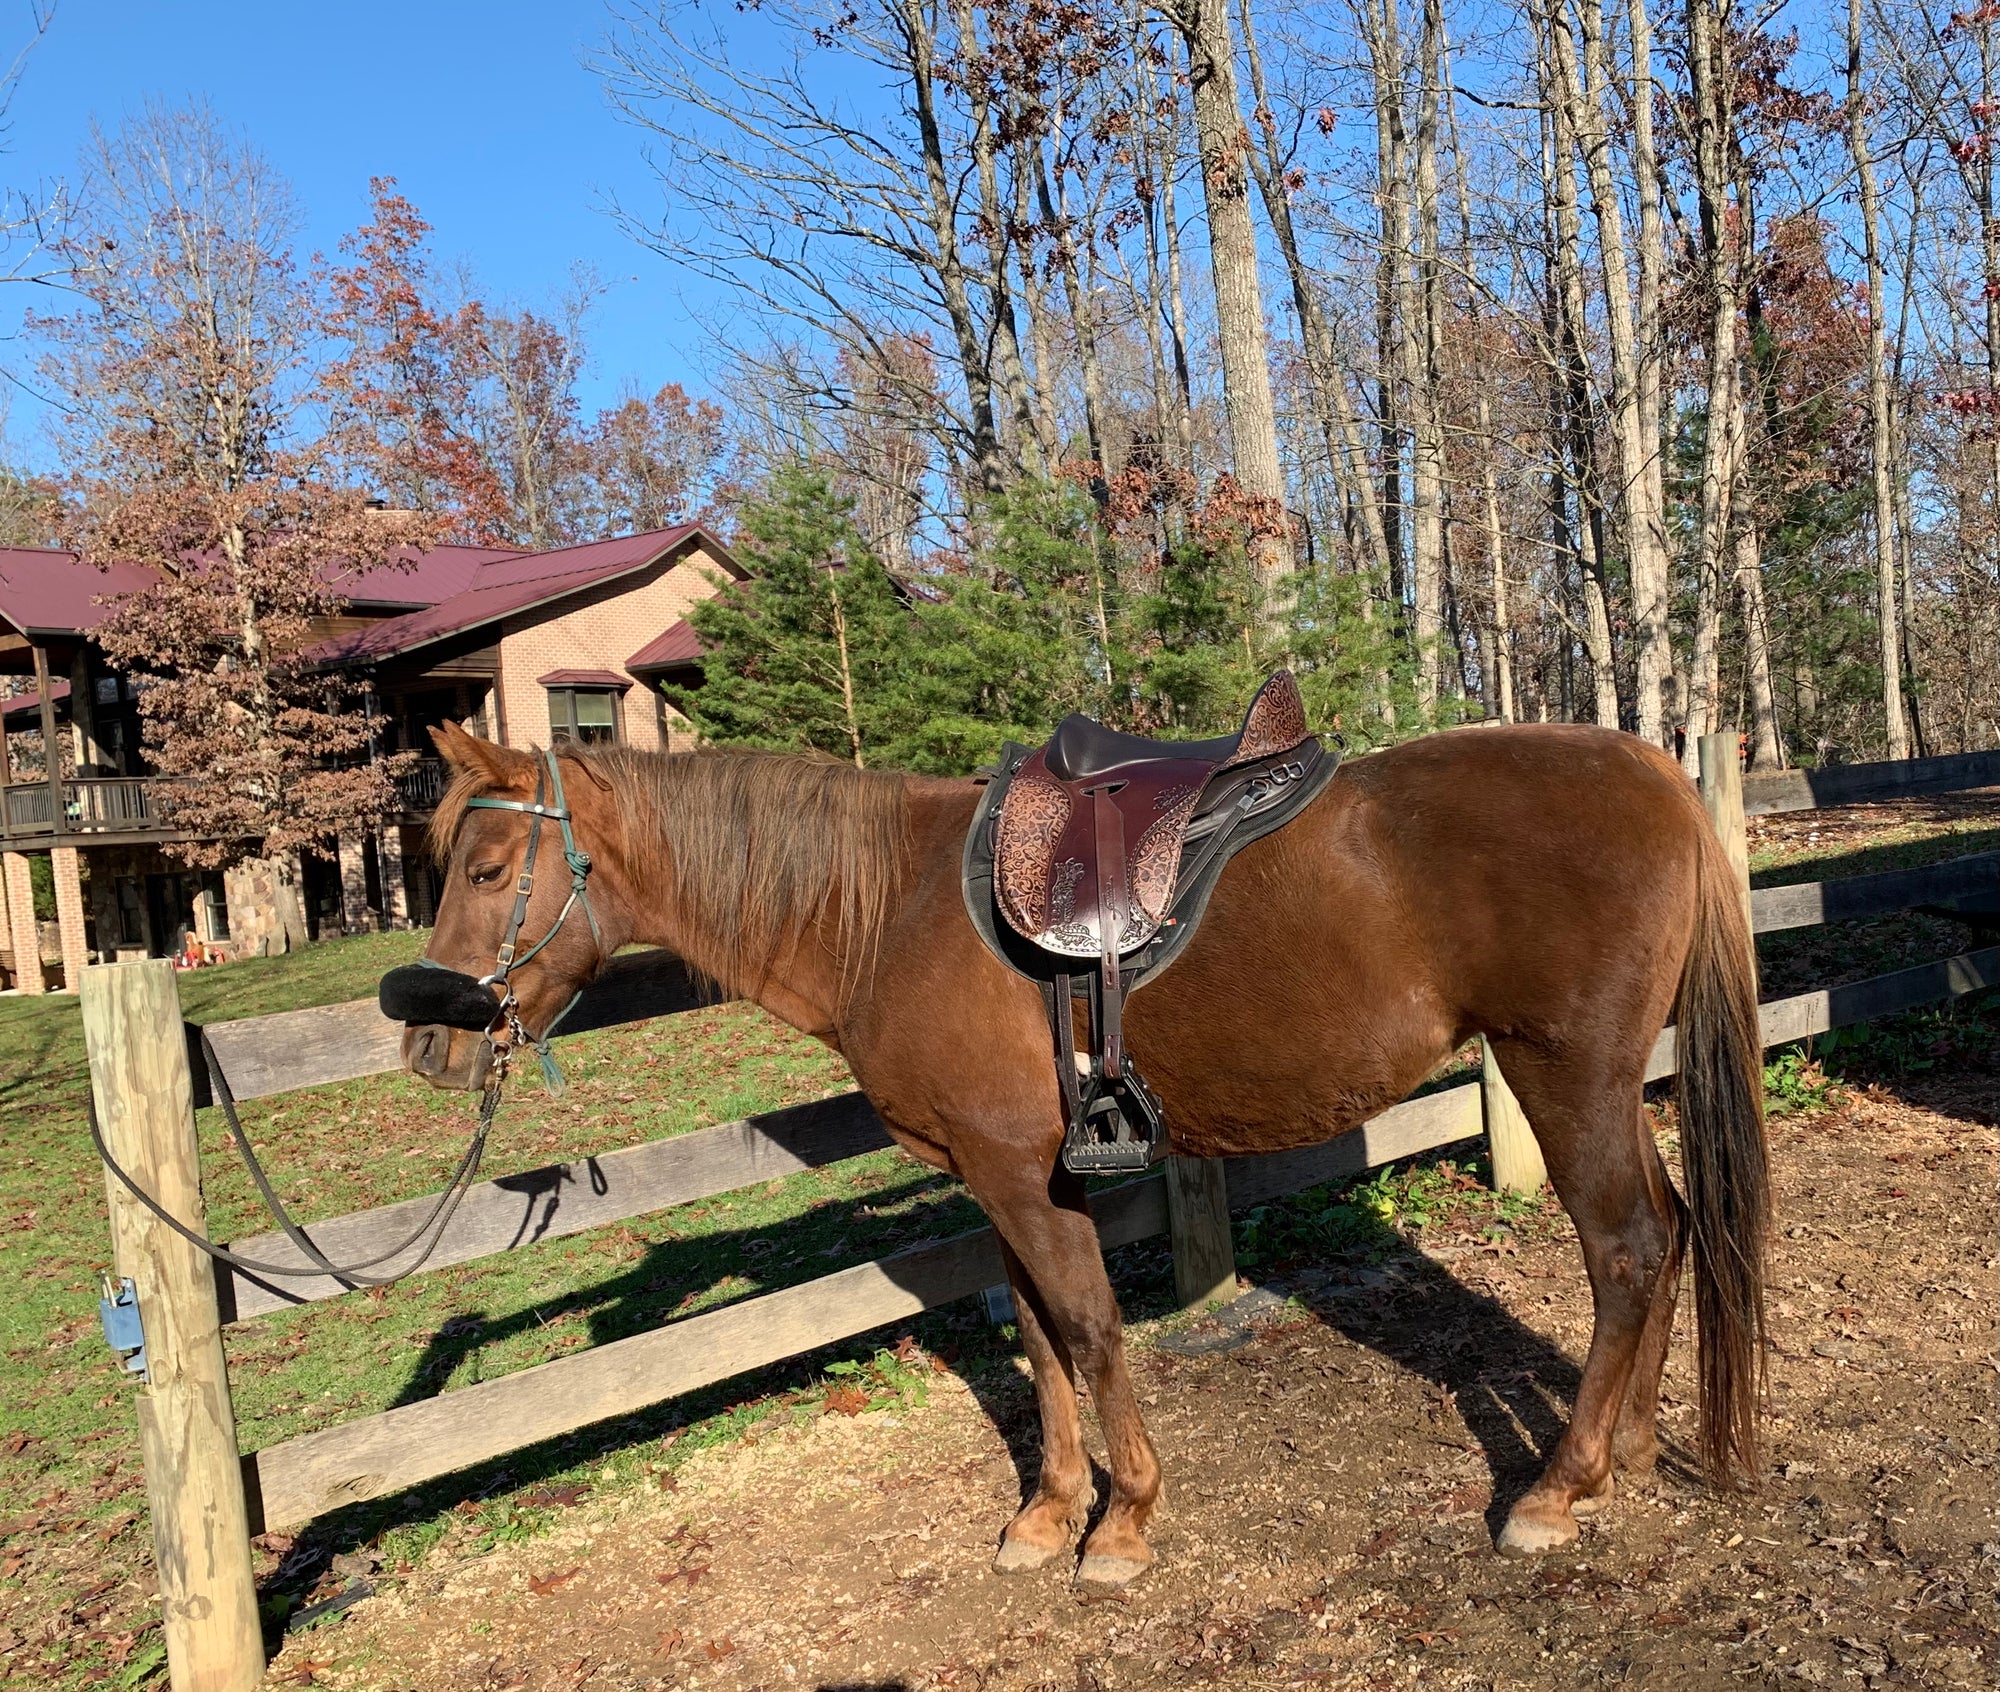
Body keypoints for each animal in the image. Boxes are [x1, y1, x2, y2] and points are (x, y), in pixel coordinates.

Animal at [402, 724, 1768, 1592]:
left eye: (486, 867)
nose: (426, 1038)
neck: (885, 908)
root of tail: (1650, 766)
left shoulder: (1021, 1174)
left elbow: (1091, 1330)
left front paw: (1121, 1524)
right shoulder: (996, 1174)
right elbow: (1035, 1339)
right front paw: (1048, 1511)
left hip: (1564, 1075)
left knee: (1625, 1247)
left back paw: (1556, 1487)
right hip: (1599, 1085)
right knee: (1667, 1230)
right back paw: (1621, 1456)